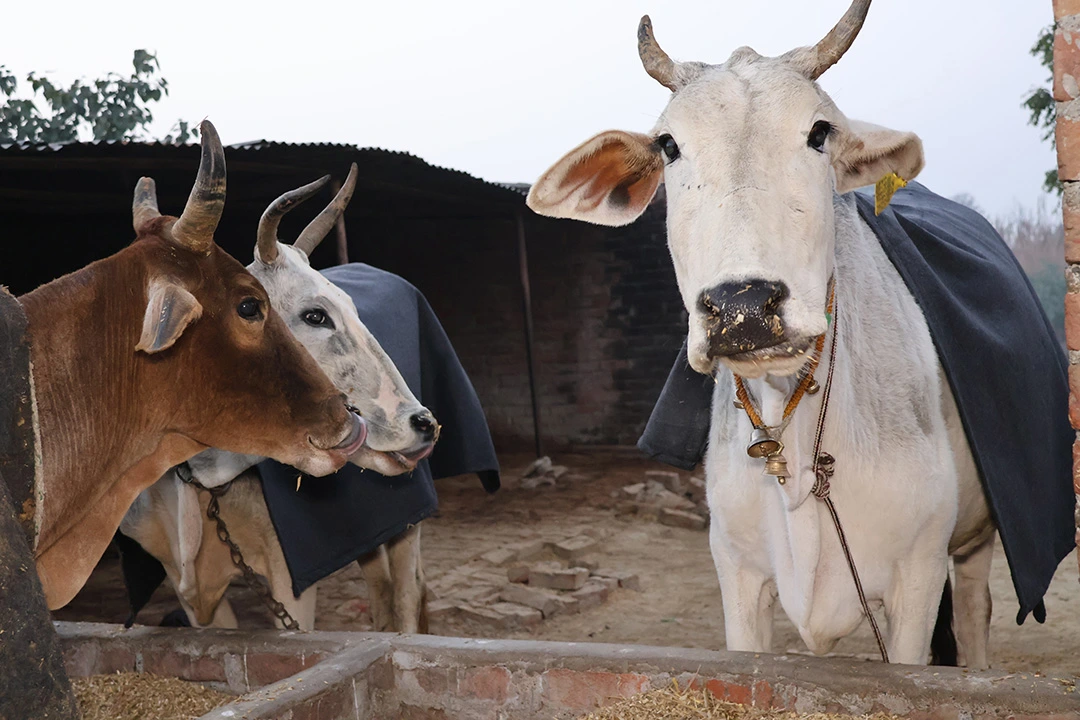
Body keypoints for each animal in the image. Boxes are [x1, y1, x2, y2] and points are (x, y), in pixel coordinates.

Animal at [526, 1, 1002, 667]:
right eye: (669, 145)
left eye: (820, 131)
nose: (742, 306)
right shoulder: (739, 577)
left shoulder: (918, 576)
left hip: (977, 541)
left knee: (976, 613)